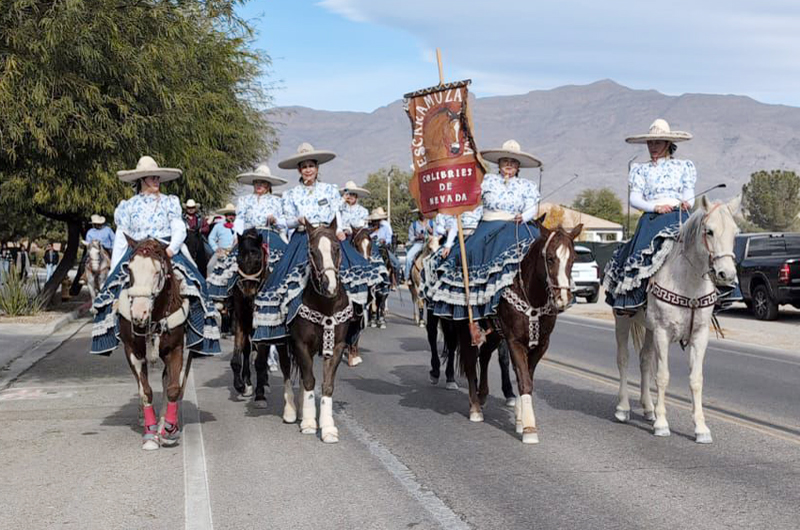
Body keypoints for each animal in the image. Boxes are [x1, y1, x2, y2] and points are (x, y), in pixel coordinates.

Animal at [117, 237, 192, 448]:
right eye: (130, 270)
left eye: (157, 272)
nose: (138, 314)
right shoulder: (132, 351)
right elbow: (145, 391)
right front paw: (150, 434)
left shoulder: (175, 349)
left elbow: (173, 388)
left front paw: (168, 430)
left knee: (167, 381)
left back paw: (163, 423)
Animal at [228, 227, 288, 404]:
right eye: (238, 260)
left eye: (257, 260)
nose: (248, 294)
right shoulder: (241, 319)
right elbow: (237, 357)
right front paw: (241, 385)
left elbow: (260, 360)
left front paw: (260, 394)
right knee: (248, 350)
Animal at [284, 219, 354, 442]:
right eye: (312, 251)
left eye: (337, 248)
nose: (329, 285)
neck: (326, 306)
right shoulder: (300, 344)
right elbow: (308, 381)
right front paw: (308, 422)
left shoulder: (336, 346)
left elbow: (326, 384)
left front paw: (328, 427)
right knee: (287, 371)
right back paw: (290, 411)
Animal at [444, 221, 580, 444]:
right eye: (550, 258)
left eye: (573, 259)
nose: (563, 299)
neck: (532, 297)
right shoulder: (514, 341)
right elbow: (524, 380)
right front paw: (529, 428)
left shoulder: (541, 344)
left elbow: (526, 376)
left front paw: (519, 419)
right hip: (466, 329)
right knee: (471, 362)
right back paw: (475, 408)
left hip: (495, 334)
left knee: (484, 356)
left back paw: (482, 395)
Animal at [616, 196, 740, 444]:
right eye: (709, 231)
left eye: (735, 232)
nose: (727, 275)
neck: (688, 284)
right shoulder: (663, 333)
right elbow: (663, 376)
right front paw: (662, 424)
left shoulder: (699, 335)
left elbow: (696, 379)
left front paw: (701, 428)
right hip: (622, 320)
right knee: (623, 360)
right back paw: (623, 409)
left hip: (649, 329)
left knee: (644, 361)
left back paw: (648, 409)